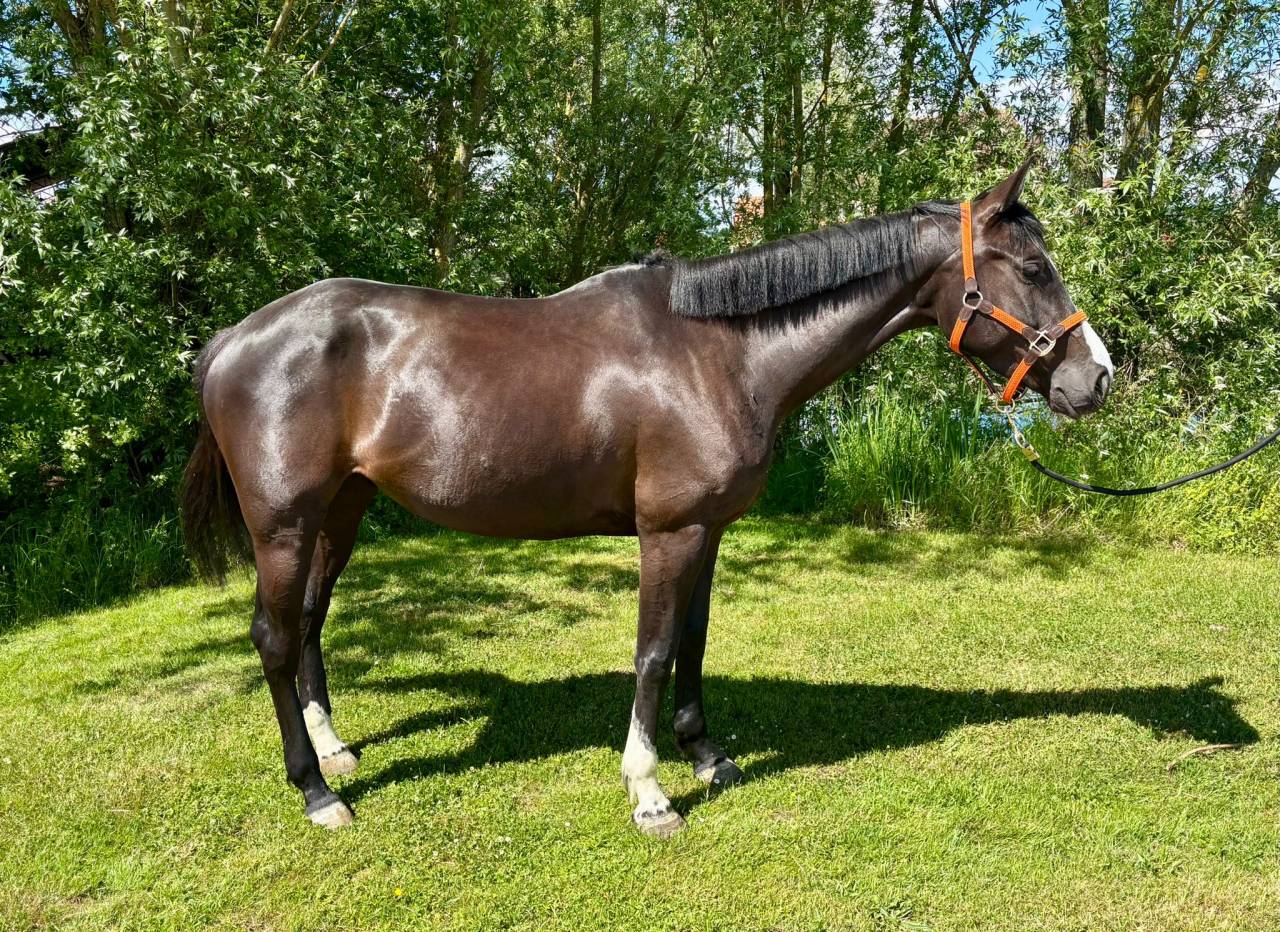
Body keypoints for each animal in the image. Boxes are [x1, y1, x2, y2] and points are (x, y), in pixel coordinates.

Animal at [181, 161, 1114, 836]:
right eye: (1034, 269)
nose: (1096, 379)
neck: (720, 352)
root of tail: (232, 339)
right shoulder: (668, 531)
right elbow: (656, 653)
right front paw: (651, 792)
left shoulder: (708, 530)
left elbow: (693, 644)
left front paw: (708, 757)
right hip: (285, 524)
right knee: (273, 635)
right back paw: (316, 792)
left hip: (342, 510)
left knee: (309, 620)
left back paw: (336, 752)